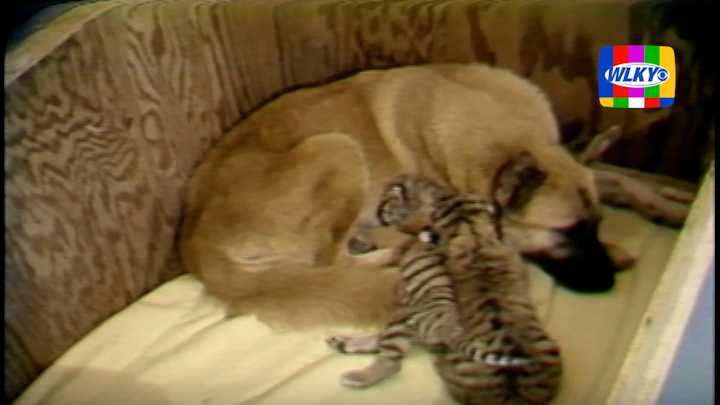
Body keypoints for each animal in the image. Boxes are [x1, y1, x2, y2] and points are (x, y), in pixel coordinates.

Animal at [177, 63, 688, 328]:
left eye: (595, 224)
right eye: (566, 232)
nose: (607, 284)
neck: (502, 132)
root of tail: (195, 244)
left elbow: (622, 180)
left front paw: (672, 205)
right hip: (337, 149)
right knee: (331, 260)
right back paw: (396, 251)